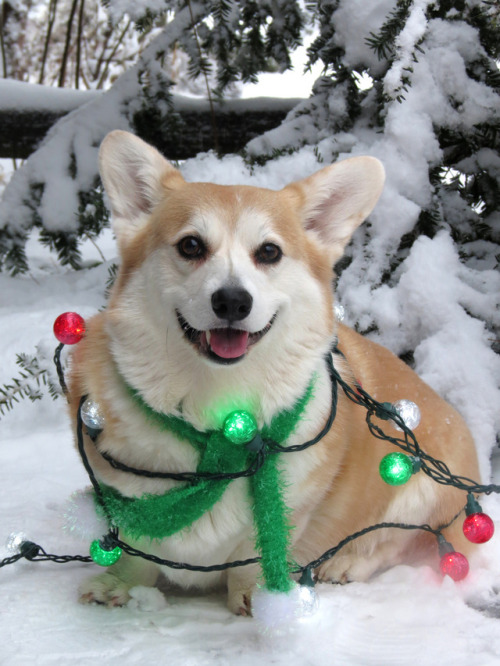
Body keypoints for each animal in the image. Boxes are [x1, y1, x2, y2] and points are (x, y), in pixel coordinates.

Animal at [71, 130, 480, 612]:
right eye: (190, 245)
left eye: (269, 251)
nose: (232, 301)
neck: (220, 410)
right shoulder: (120, 489)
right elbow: (136, 546)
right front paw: (120, 583)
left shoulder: (295, 503)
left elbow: (256, 550)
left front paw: (263, 600)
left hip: (417, 484)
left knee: (400, 541)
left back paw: (347, 562)